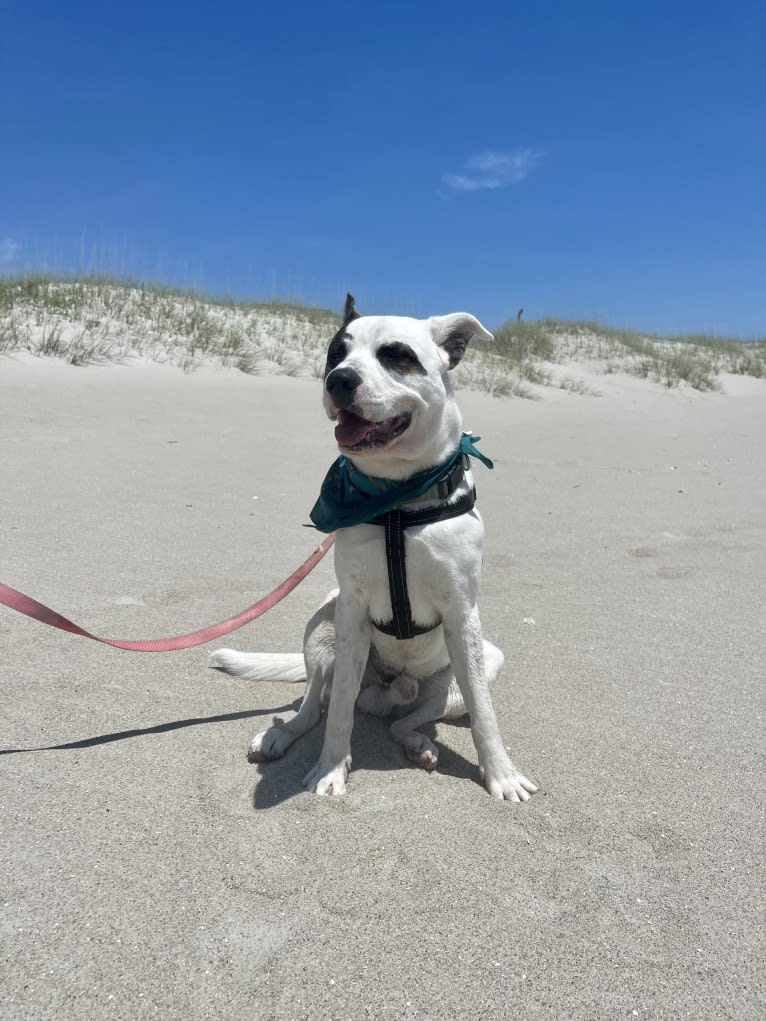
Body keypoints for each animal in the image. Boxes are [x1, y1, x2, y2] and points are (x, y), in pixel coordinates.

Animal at [210, 292, 539, 800]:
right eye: (335, 353)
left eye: (396, 355)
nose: (339, 380)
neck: (398, 501)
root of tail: (389, 688)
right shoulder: (353, 609)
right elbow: (339, 711)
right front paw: (331, 767)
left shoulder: (462, 612)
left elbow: (485, 714)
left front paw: (501, 775)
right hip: (322, 624)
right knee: (314, 706)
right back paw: (279, 735)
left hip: (475, 667)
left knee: (408, 718)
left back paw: (419, 744)